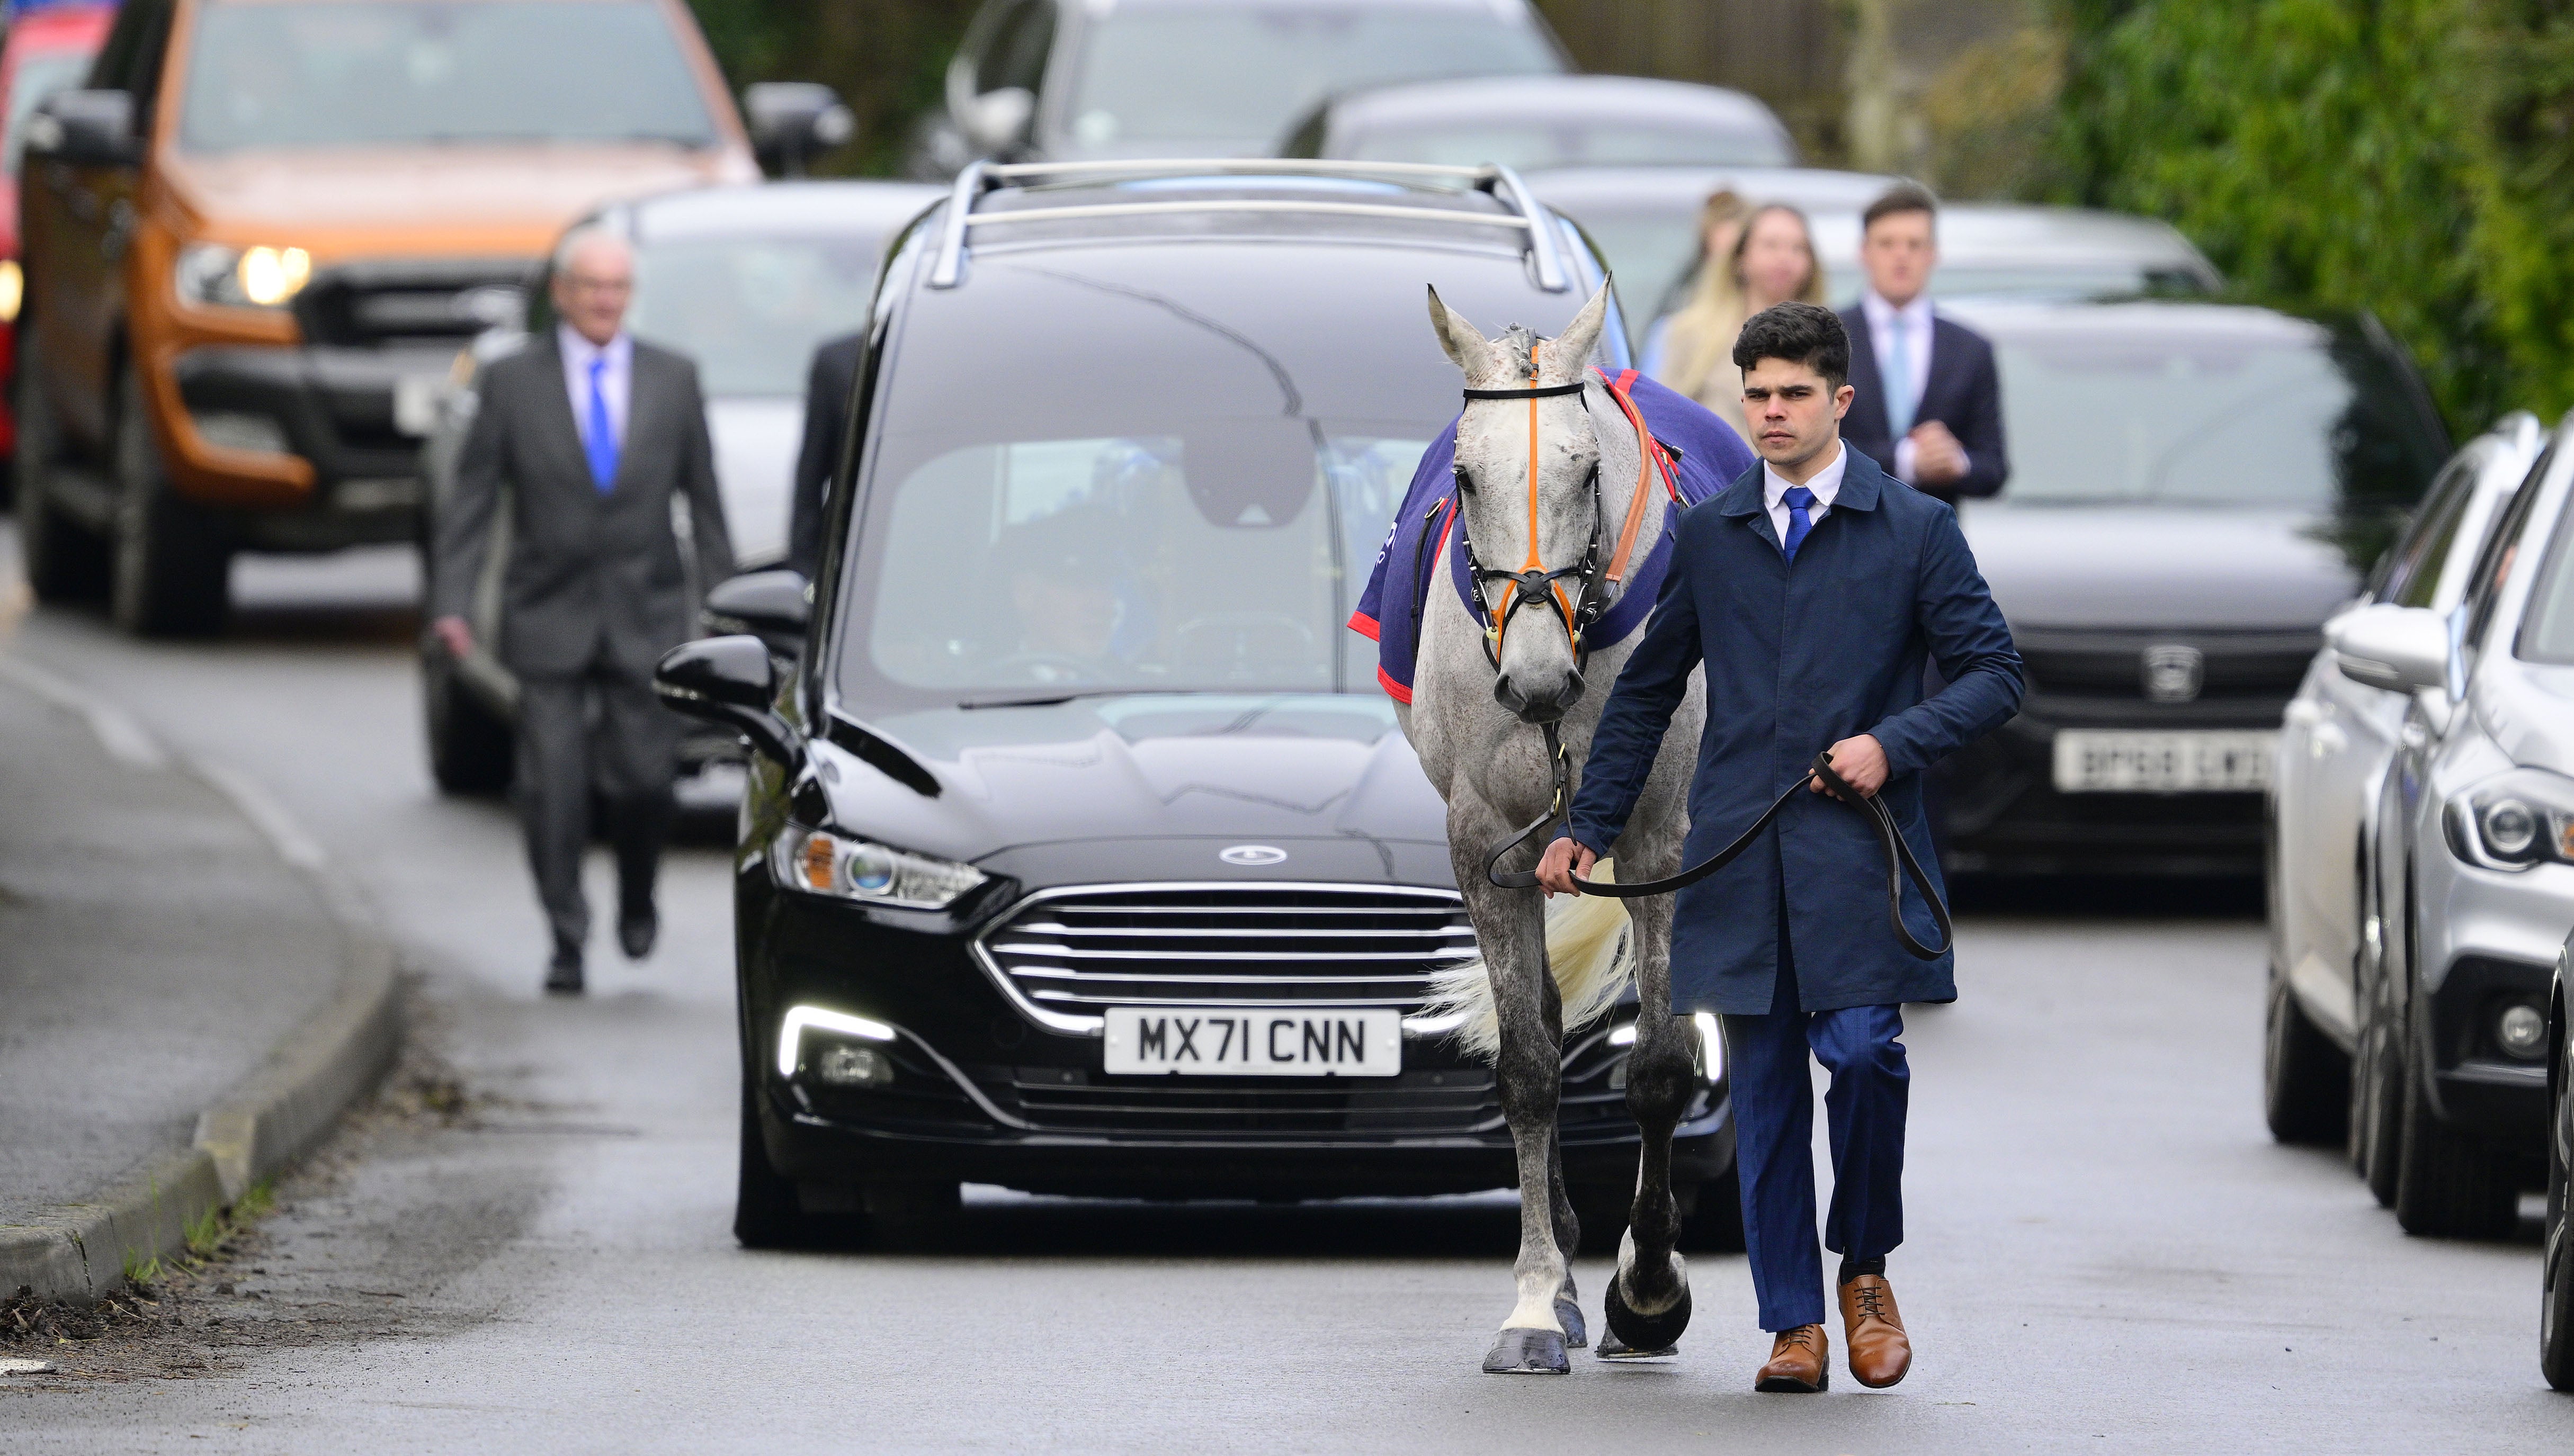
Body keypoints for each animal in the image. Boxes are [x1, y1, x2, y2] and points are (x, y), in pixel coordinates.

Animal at [1410, 285, 1709, 1379]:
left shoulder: (1663, 841)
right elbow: (1531, 1067)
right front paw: (1542, 1302)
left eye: (1585, 471)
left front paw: (1650, 1286)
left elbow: (1660, 1064)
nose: (1536, 679)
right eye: (1464, 474)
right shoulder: (1484, 847)